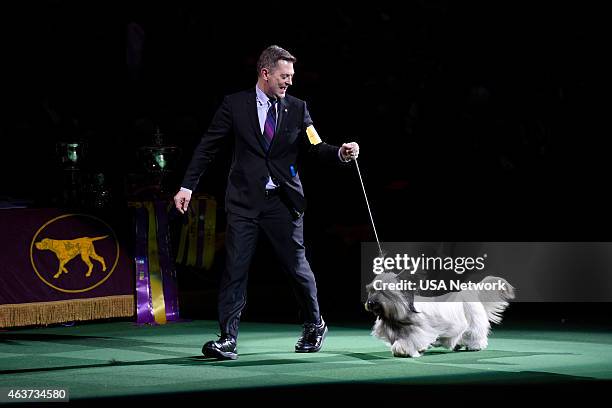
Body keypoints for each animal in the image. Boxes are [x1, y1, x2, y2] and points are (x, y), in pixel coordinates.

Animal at [366, 274, 512, 356]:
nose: (370, 303)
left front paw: (402, 349)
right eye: (371, 290)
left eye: (383, 291)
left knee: (476, 335)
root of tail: (470, 292)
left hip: (473, 324)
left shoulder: (419, 331)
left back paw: (475, 347)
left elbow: (408, 340)